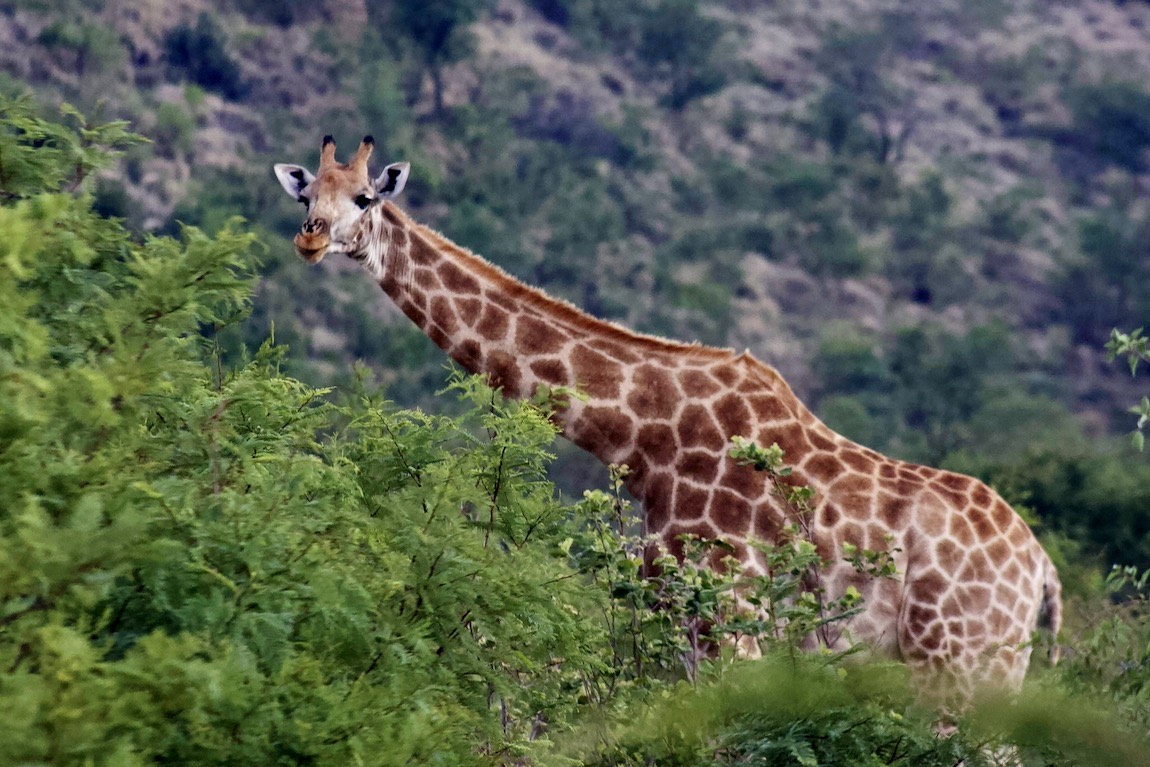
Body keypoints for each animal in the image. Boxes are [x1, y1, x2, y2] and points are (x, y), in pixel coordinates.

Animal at [273, 135, 1062, 705]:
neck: (644, 436)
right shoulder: (678, 625)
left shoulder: (729, 617)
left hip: (959, 659)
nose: (310, 238)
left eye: (365, 197)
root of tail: (1043, 574)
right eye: (307, 192)